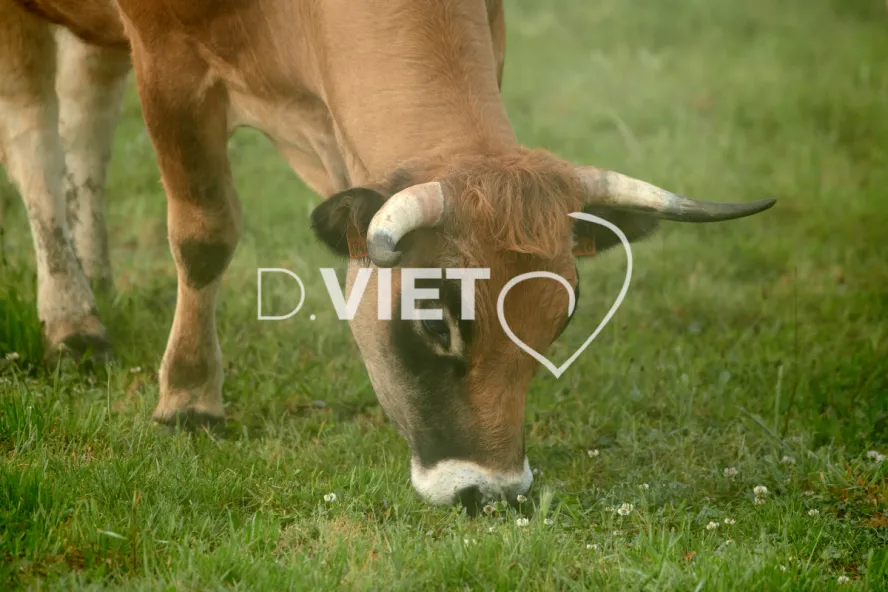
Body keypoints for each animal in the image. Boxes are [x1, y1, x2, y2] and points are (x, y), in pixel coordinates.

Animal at [0, 0, 774, 508]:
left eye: (561, 322)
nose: (493, 493)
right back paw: (73, 320)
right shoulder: (169, 56)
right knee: (35, 131)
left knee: (87, 109)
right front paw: (189, 399)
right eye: (436, 320)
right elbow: (205, 231)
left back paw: (95, 275)